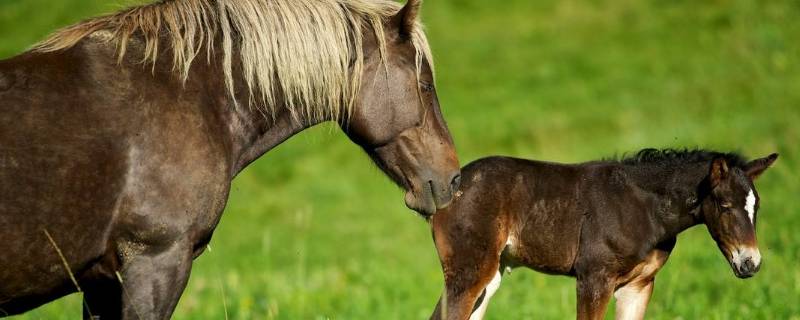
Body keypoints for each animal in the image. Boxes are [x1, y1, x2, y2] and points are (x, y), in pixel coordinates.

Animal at [432, 149, 776, 320]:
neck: (643, 208)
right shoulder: (594, 278)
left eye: (757, 206)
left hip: (492, 275)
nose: (751, 263)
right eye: (725, 204)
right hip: (469, 271)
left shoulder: (639, 285)